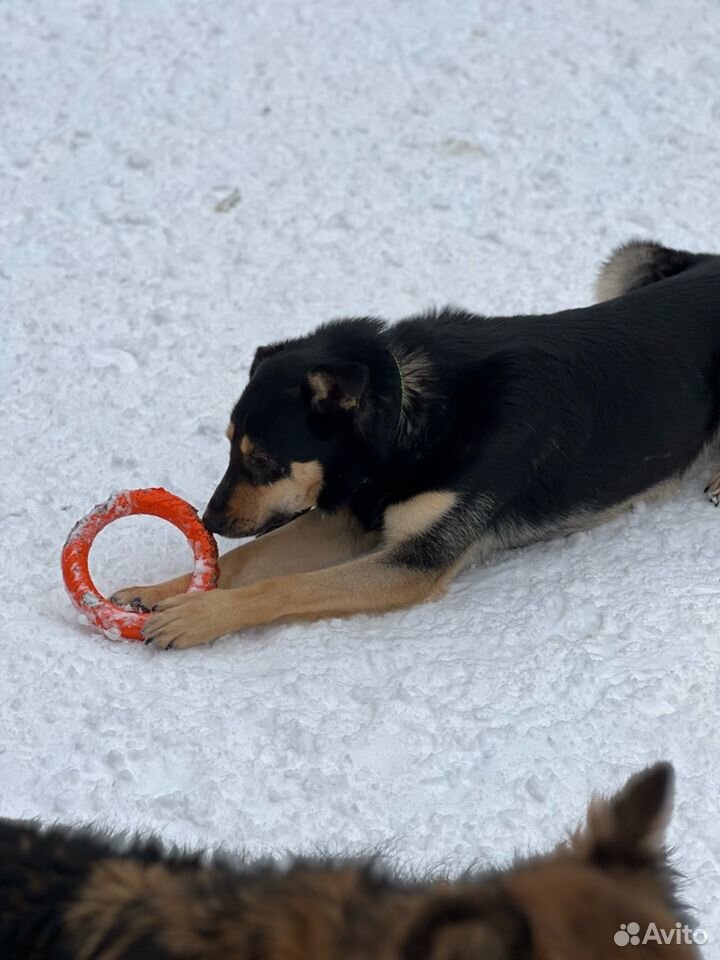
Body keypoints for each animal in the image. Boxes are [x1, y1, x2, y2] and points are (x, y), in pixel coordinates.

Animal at [112, 238, 720, 652]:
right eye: (229, 446)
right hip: (627, 264)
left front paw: (196, 617)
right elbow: (250, 557)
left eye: (261, 459)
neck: (410, 417)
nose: (207, 521)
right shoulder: (354, 512)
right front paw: (160, 590)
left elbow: (283, 585)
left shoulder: (414, 560)